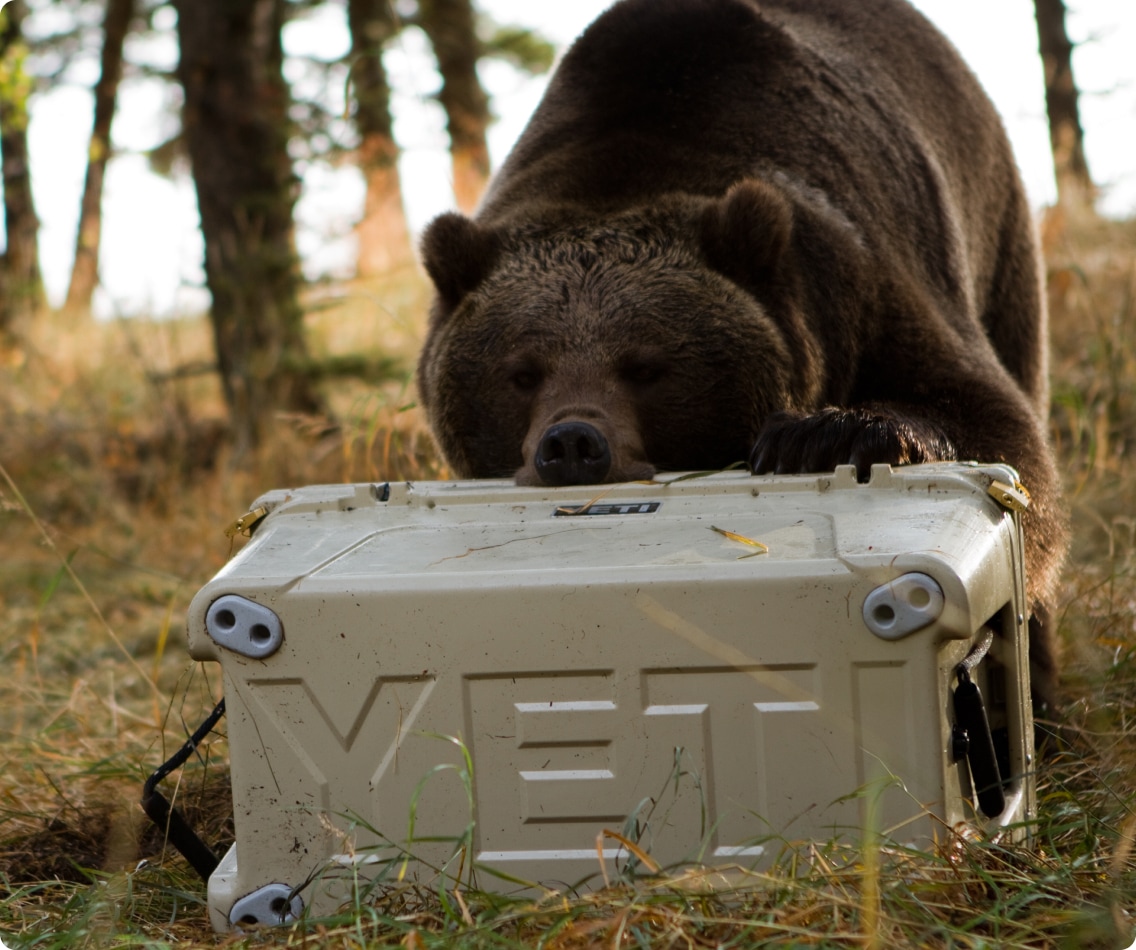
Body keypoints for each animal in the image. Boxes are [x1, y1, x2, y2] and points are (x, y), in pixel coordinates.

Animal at [415, 0, 1063, 704]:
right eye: (523, 372)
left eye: (646, 366)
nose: (572, 444)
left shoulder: (869, 273)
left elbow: (993, 425)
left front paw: (821, 436)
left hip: (996, 239)